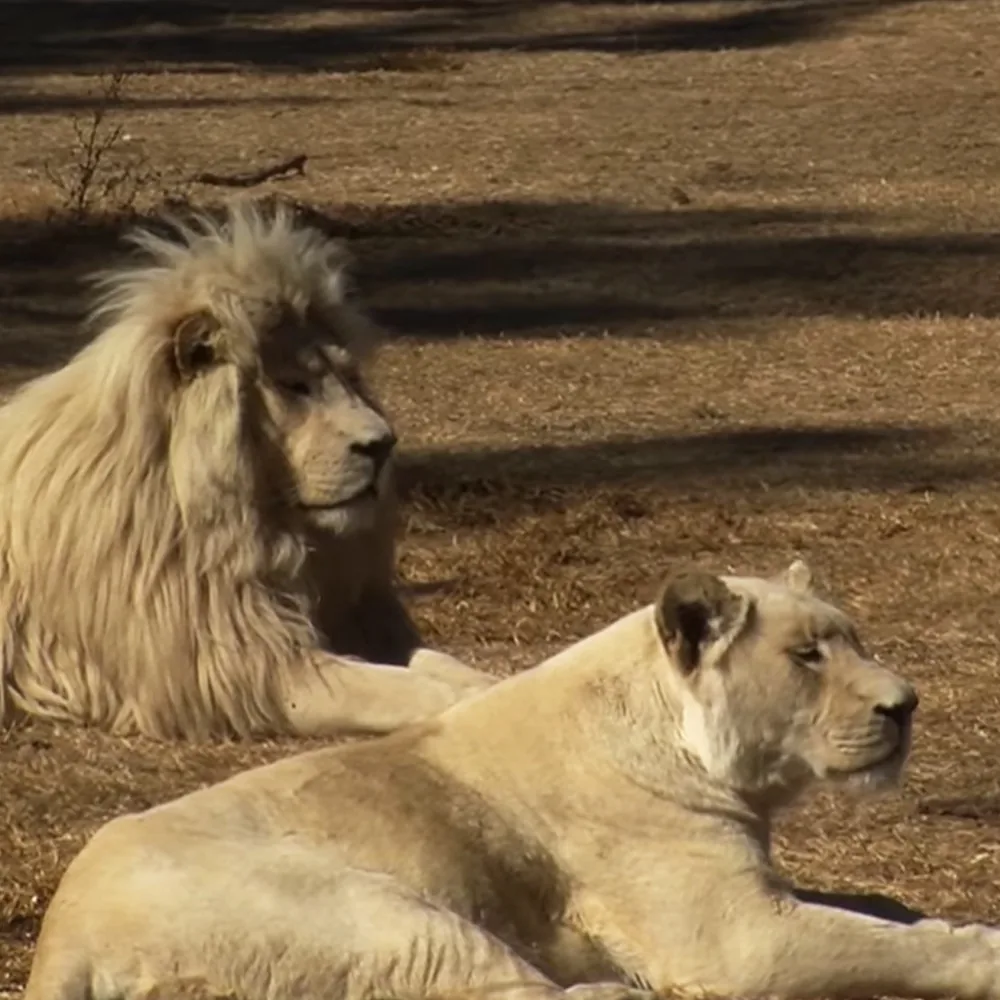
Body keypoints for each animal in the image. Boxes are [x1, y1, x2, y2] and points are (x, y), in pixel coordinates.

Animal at [0, 199, 493, 741]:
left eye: (349, 377)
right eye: (295, 385)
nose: (382, 444)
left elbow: (436, 663)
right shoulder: (239, 672)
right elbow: (405, 692)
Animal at [25, 558, 1000, 1000]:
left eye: (856, 638)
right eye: (807, 655)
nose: (908, 704)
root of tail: (61, 935)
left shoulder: (754, 892)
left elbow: (869, 911)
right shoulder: (733, 939)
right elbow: (888, 945)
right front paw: (979, 948)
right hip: (376, 913)